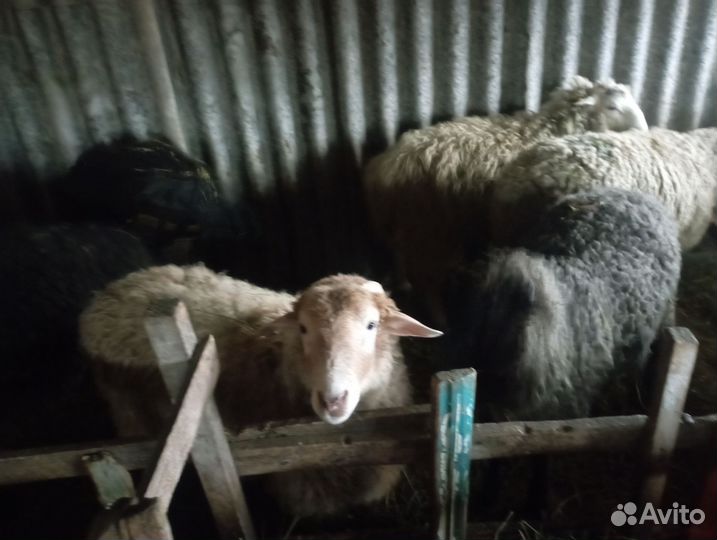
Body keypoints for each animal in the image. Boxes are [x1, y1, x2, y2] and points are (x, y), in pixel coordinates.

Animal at [363, 76, 648, 321]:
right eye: (612, 106)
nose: (642, 130)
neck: (549, 129)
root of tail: (384, 167)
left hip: (406, 228)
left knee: (401, 259)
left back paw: (402, 286)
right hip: (429, 229)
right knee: (427, 281)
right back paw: (441, 320)